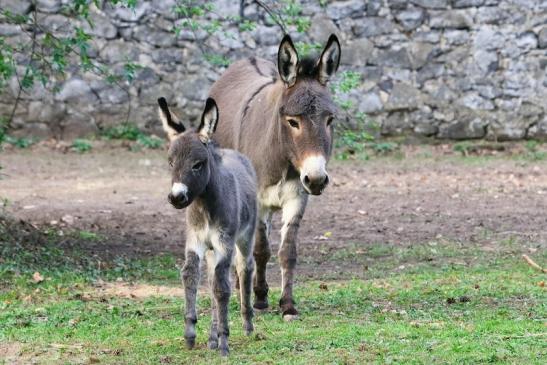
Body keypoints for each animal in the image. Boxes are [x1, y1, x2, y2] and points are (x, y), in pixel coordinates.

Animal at [158, 96, 260, 356]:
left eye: (198, 164)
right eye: (170, 162)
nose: (176, 197)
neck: (204, 207)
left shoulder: (225, 243)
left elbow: (223, 288)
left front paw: (225, 341)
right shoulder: (195, 241)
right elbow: (191, 276)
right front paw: (191, 334)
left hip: (245, 236)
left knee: (245, 268)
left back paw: (247, 324)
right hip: (213, 250)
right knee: (213, 278)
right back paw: (212, 337)